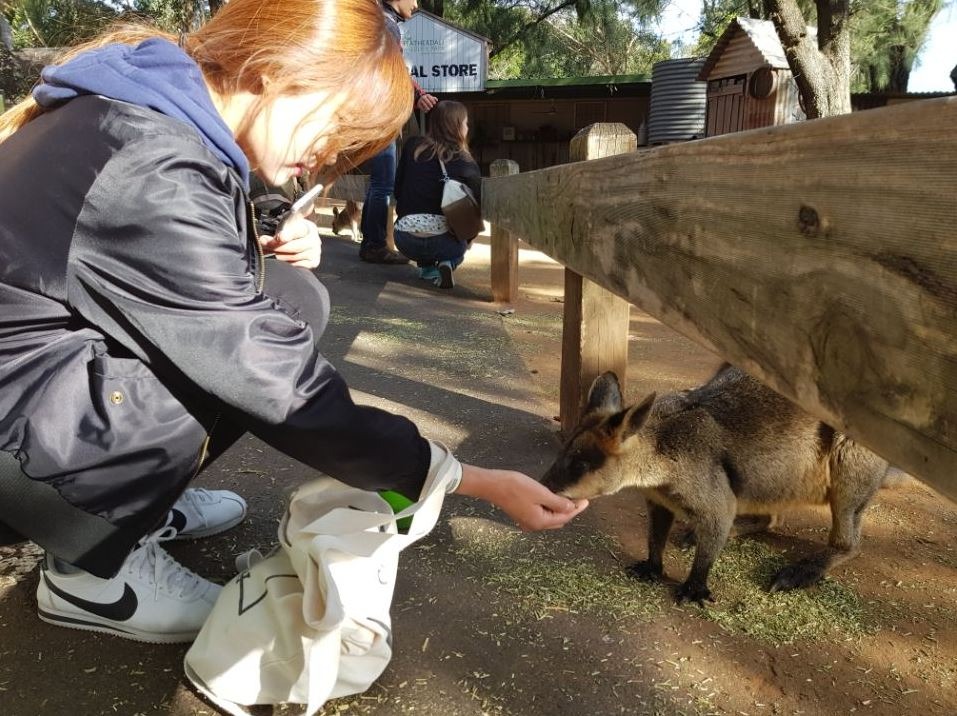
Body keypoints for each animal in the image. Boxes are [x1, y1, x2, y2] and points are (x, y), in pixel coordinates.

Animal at [540, 364, 884, 604]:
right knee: (770, 518)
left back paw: (798, 572)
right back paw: (699, 535)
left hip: (850, 459)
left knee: (847, 541)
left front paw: (694, 589)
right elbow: (656, 534)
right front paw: (651, 567)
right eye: (563, 450)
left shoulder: (710, 494)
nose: (543, 489)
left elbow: (718, 520)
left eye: (581, 465)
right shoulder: (659, 499)